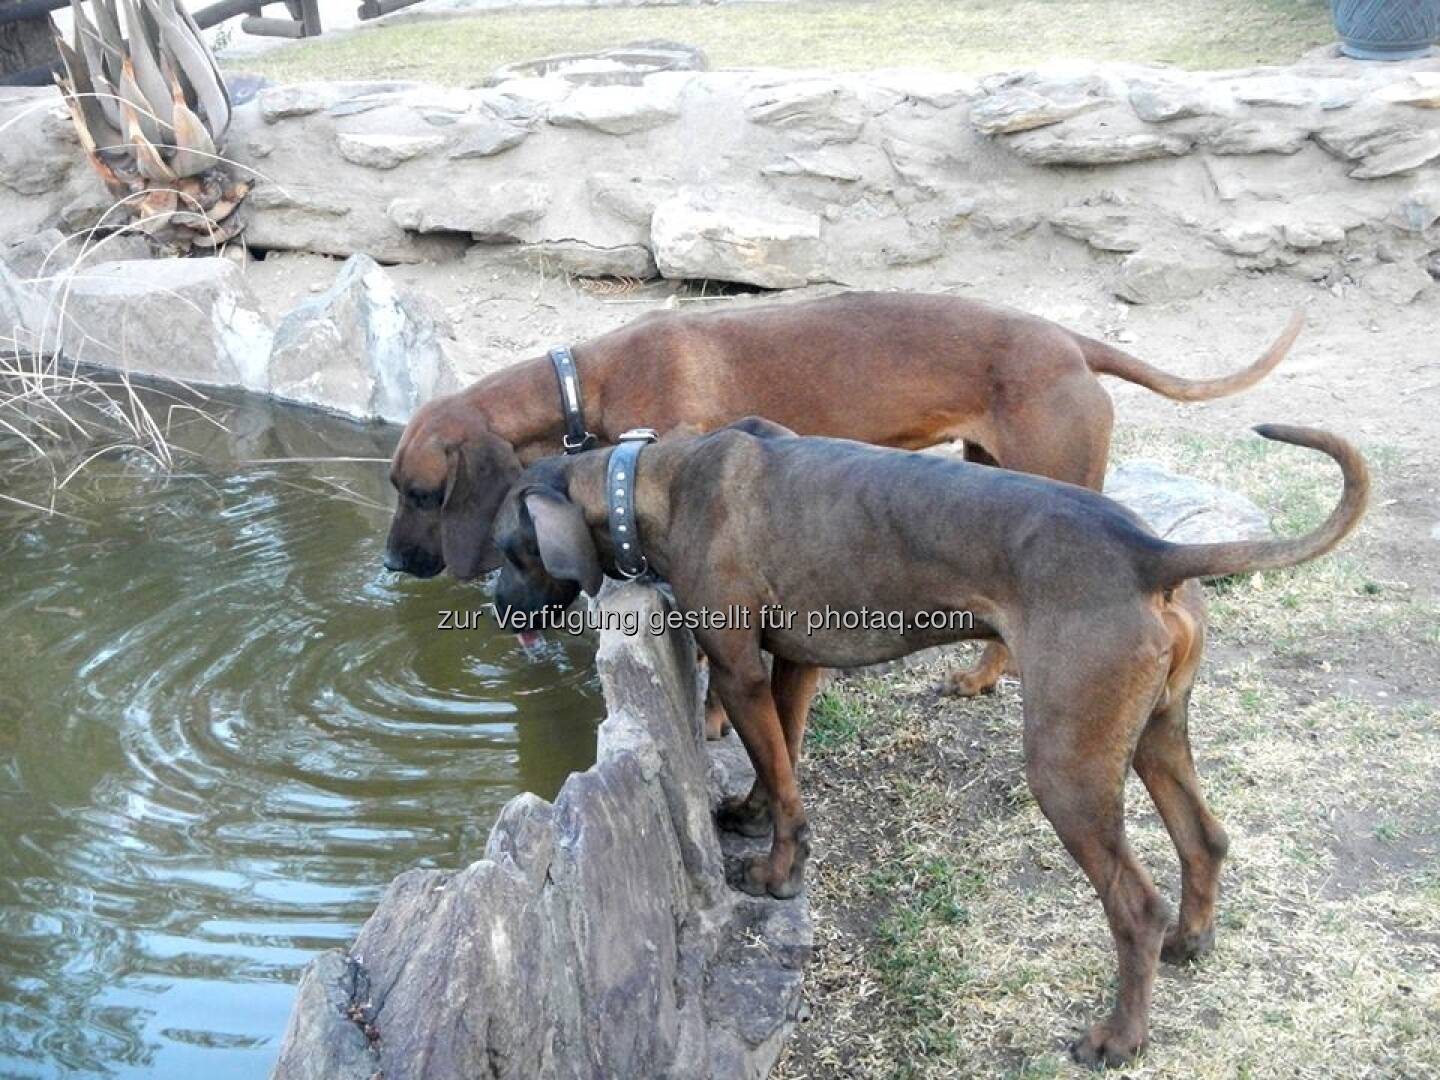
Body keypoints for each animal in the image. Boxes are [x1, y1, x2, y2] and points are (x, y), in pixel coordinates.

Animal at [489, 420, 1365, 1065]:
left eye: (506, 549)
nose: (494, 608)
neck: (657, 482)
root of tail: (1150, 551)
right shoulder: (793, 665)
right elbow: (782, 764)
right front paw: (750, 811)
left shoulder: (738, 671)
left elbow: (786, 786)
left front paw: (776, 873)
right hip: (1155, 736)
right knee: (1205, 840)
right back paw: (1193, 939)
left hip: (1066, 769)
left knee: (1134, 906)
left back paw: (1119, 1037)